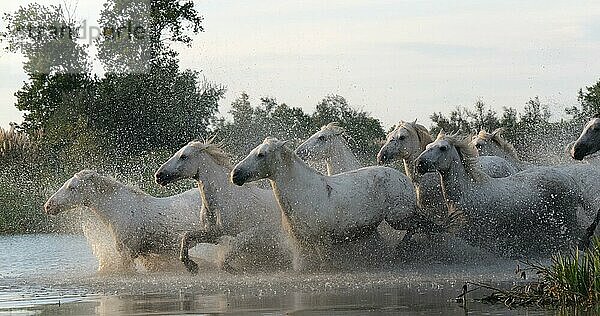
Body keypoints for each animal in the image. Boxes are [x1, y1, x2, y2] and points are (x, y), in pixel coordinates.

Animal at [155, 139, 292, 272]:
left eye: (183, 156)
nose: (158, 175)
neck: (221, 202)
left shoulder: (233, 234)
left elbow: (225, 259)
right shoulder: (213, 234)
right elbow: (187, 236)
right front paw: (191, 266)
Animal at [230, 138, 418, 270]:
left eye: (261, 154)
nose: (235, 174)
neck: (304, 191)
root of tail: (404, 179)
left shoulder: (322, 242)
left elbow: (325, 264)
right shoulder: (301, 244)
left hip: (397, 218)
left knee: (417, 224)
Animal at [414, 131, 596, 256]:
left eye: (443, 148)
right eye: (427, 147)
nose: (419, 164)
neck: (468, 193)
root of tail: (570, 180)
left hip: (566, 221)